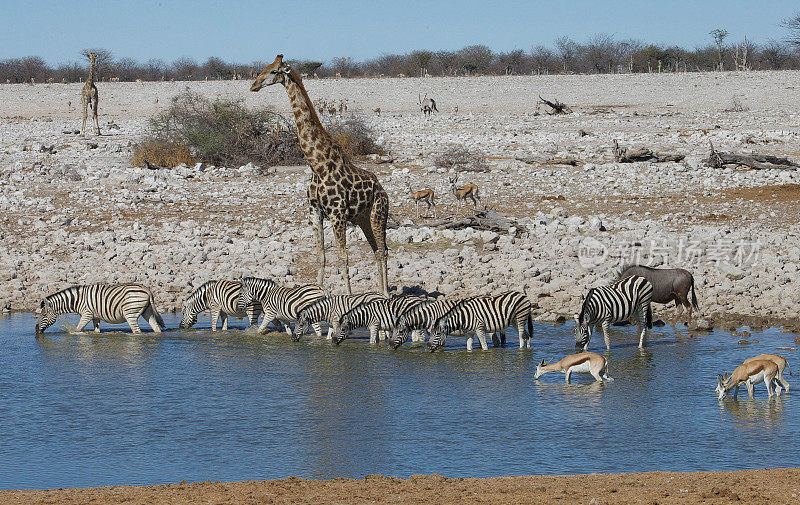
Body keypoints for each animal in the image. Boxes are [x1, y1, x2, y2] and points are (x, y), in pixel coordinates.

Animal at [36, 284, 164, 334]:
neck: (77, 300)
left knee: (137, 331)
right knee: (156, 328)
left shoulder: (86, 314)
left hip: (130, 313)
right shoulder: (95, 316)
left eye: (44, 315)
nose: (36, 330)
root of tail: (147, 289)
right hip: (147, 312)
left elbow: (78, 329)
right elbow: (96, 331)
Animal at [248, 53, 390, 294]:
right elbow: (321, 256)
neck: (318, 165)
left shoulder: (337, 214)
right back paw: (380, 292)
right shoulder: (315, 212)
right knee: (376, 250)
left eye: (274, 71)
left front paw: (348, 296)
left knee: (384, 250)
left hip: (378, 214)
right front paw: (316, 293)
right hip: (362, 217)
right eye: (263, 68)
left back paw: (387, 293)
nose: (254, 85)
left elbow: (343, 257)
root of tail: (382, 190)